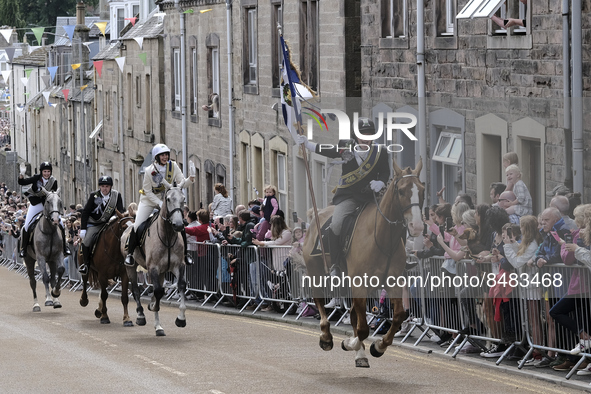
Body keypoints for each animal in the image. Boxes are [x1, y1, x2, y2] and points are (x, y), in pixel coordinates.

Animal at [122, 187, 190, 336]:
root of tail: (127, 228)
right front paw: (153, 307)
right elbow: (158, 292)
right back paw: (141, 316)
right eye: (168, 199)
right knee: (136, 290)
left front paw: (181, 319)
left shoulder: (178, 266)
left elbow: (181, 286)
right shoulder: (153, 267)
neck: (168, 235)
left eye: (184, 199)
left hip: (162, 272)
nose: (179, 225)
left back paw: (157, 324)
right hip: (131, 267)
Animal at [302, 159, 424, 368]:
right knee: (320, 302)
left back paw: (360, 354)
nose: (416, 226)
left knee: (352, 314)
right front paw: (351, 343)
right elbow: (363, 329)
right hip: (316, 271)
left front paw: (378, 346)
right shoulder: (359, 284)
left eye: (422, 190)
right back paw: (326, 337)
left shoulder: (392, 282)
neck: (382, 237)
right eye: (401, 191)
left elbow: (398, 315)